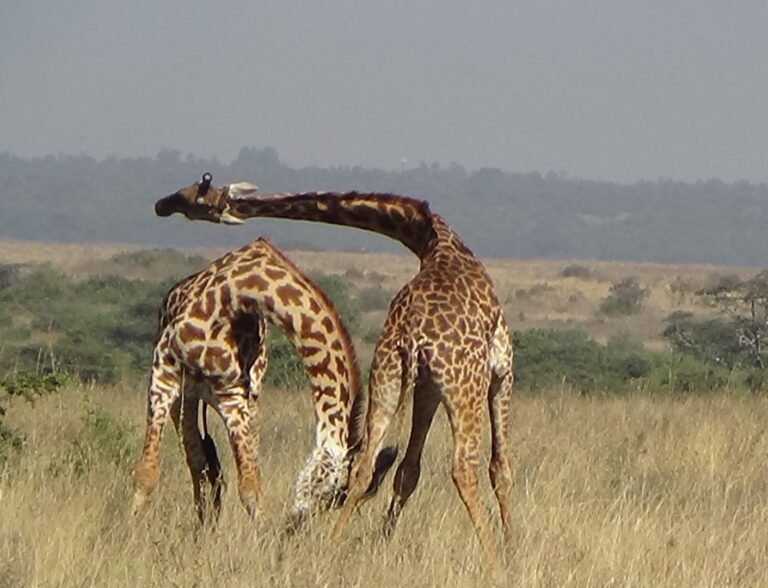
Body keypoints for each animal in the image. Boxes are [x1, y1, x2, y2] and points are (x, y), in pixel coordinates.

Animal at [132, 237, 396, 527]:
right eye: (336, 492)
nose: (297, 524)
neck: (237, 294)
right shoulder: (163, 371)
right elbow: (146, 474)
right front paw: (126, 530)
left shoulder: (232, 394)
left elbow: (250, 486)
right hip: (185, 395)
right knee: (197, 460)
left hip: (248, 401)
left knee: (220, 465)